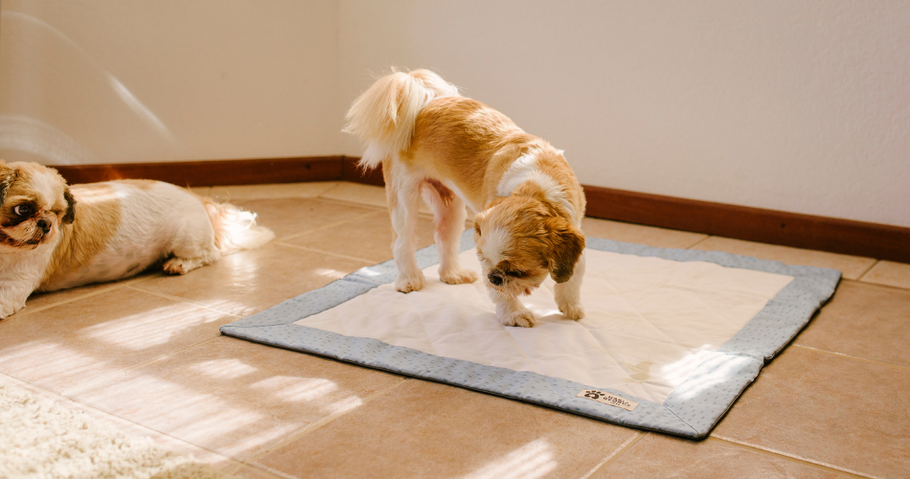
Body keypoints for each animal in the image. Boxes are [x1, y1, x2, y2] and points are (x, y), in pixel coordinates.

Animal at [0, 161, 274, 318]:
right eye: (23, 209)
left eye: (57, 213)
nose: (46, 224)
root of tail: (196, 196)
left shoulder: (14, 285)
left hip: (186, 238)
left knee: (210, 254)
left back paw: (178, 264)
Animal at [346, 69, 588, 328]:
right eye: (483, 259)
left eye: (518, 271)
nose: (493, 277)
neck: (534, 186)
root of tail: (425, 102)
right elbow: (505, 296)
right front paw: (514, 314)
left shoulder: (575, 230)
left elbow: (572, 279)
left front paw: (571, 306)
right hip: (404, 197)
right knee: (403, 241)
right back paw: (408, 279)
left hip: (450, 206)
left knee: (444, 237)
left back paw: (452, 274)